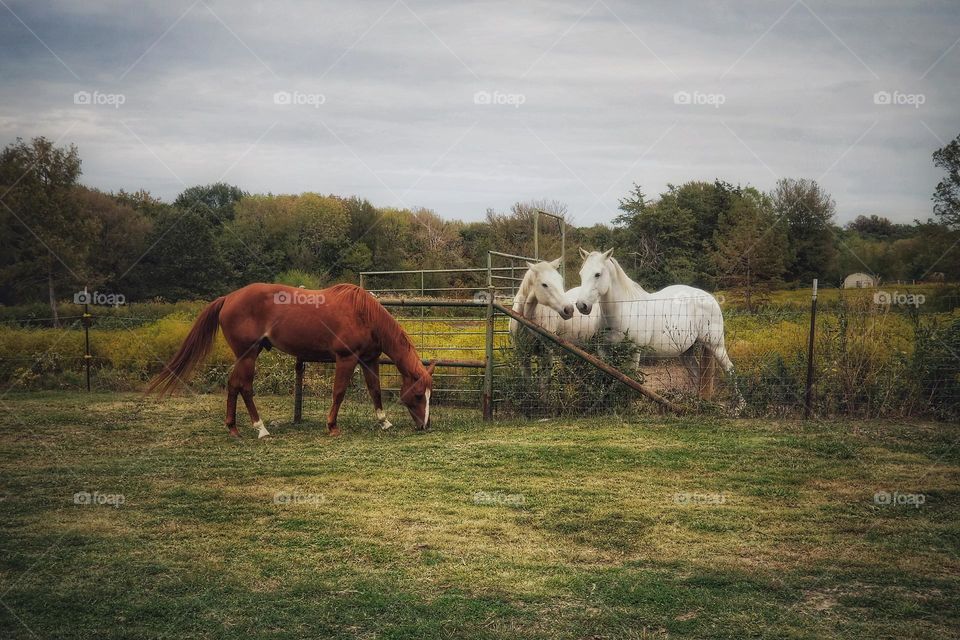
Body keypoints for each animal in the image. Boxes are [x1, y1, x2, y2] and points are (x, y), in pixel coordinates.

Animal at [147, 283, 435, 438]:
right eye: (418, 395)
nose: (425, 426)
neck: (364, 314)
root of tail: (228, 297)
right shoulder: (346, 359)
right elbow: (339, 392)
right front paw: (332, 426)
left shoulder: (369, 359)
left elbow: (375, 390)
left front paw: (384, 422)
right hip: (249, 354)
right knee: (245, 387)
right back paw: (261, 429)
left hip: (246, 355)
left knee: (232, 385)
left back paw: (234, 428)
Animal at [574, 248, 742, 407]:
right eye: (581, 273)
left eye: (597, 274)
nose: (582, 305)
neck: (623, 310)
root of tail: (710, 298)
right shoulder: (603, 351)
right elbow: (606, 376)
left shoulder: (635, 351)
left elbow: (631, 377)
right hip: (686, 351)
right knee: (696, 374)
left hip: (715, 345)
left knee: (730, 370)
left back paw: (739, 407)